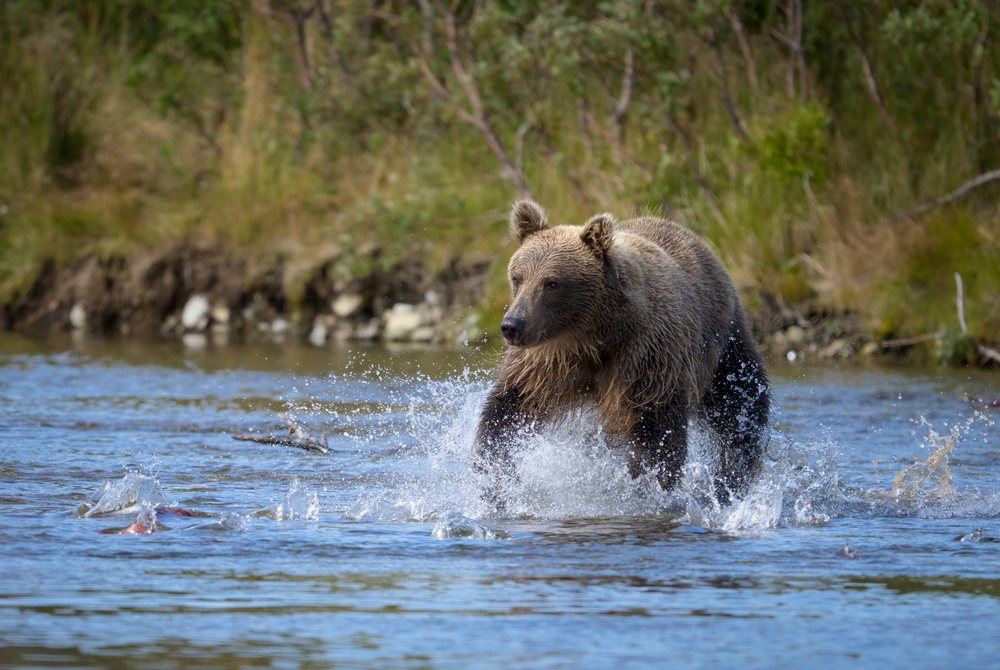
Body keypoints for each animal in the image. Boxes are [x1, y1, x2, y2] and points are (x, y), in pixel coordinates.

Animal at [474, 199, 770, 507]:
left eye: (551, 282)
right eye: (517, 277)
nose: (512, 325)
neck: (593, 335)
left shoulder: (648, 357)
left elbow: (657, 431)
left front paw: (647, 487)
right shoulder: (545, 362)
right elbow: (510, 406)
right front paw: (492, 475)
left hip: (722, 343)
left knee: (739, 408)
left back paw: (733, 477)